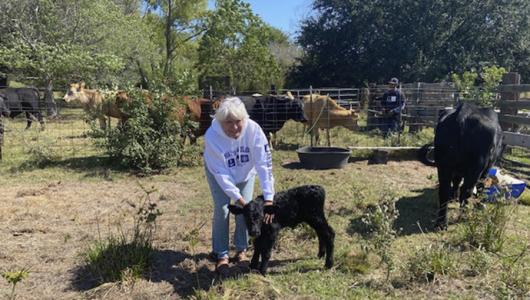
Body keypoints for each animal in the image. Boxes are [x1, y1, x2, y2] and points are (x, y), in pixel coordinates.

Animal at [424, 102, 504, 230]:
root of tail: (463, 113)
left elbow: (456, 182)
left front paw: (454, 197)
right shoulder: (485, 169)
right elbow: (480, 186)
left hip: (443, 166)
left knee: (444, 191)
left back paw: (441, 223)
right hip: (475, 169)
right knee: (466, 191)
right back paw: (464, 216)